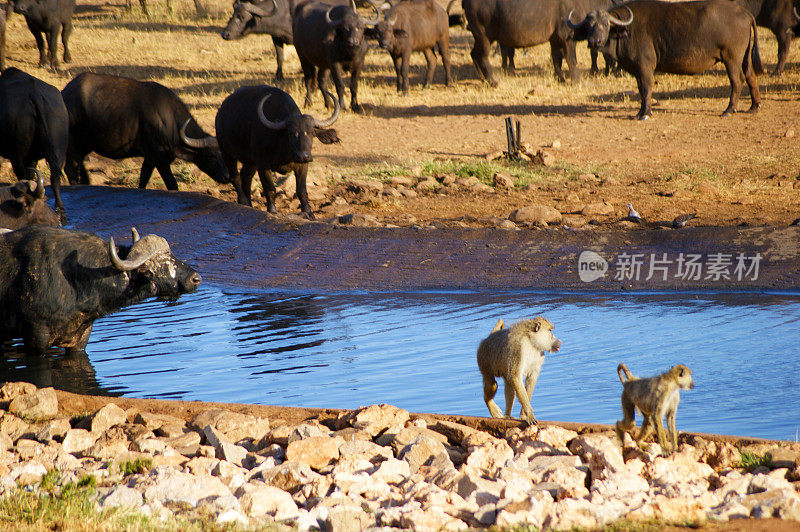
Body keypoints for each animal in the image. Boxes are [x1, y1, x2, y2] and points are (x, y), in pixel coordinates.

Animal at [0, 67, 68, 221]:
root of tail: (34, 93)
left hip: (18, 154)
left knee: (22, 176)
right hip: (58, 147)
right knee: (55, 178)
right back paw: (61, 213)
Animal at [62, 71, 228, 192]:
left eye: (223, 153)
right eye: (211, 155)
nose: (227, 176)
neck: (168, 120)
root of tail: (64, 93)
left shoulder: (149, 159)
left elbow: (143, 180)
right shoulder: (160, 159)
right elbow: (172, 185)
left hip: (86, 144)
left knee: (80, 166)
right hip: (73, 142)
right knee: (70, 168)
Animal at [214, 84, 340, 217]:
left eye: (311, 133)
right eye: (291, 133)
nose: (303, 156)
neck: (286, 152)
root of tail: (221, 112)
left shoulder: (302, 166)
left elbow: (302, 191)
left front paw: (308, 212)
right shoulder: (263, 165)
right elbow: (270, 190)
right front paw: (273, 210)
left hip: (250, 162)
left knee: (246, 179)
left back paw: (249, 205)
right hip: (226, 152)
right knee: (236, 178)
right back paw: (243, 201)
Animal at [568, 0, 764, 119]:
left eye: (606, 24)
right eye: (589, 26)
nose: (595, 42)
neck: (626, 32)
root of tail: (745, 12)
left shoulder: (645, 67)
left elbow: (646, 89)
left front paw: (645, 114)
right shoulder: (637, 71)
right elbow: (640, 90)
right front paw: (640, 112)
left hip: (731, 58)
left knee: (737, 81)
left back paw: (729, 110)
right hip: (744, 58)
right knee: (751, 76)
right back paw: (754, 106)